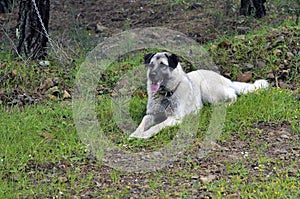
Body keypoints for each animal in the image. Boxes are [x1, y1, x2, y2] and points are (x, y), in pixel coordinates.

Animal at [127, 52, 268, 139]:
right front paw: (135, 134)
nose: (152, 75)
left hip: (207, 88)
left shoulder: (174, 118)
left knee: (233, 96)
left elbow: (156, 127)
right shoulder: (151, 115)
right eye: (151, 64)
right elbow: (142, 123)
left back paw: (222, 106)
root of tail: (226, 79)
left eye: (163, 65)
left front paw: (144, 135)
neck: (165, 94)